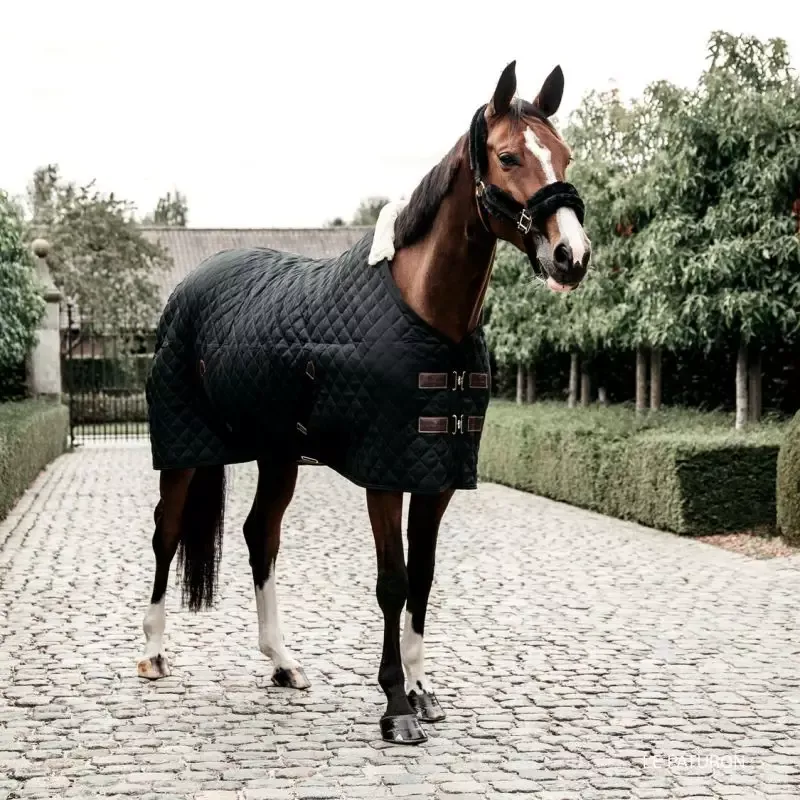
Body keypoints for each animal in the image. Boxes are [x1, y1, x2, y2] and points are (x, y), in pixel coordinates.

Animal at [137, 60, 592, 746]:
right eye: (509, 156)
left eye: (563, 155)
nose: (572, 255)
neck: (427, 312)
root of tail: (190, 287)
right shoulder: (385, 473)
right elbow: (393, 581)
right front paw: (396, 705)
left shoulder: (435, 475)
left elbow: (423, 578)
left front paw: (422, 691)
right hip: (183, 449)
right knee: (167, 534)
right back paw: (154, 653)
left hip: (278, 456)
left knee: (259, 535)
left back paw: (282, 662)